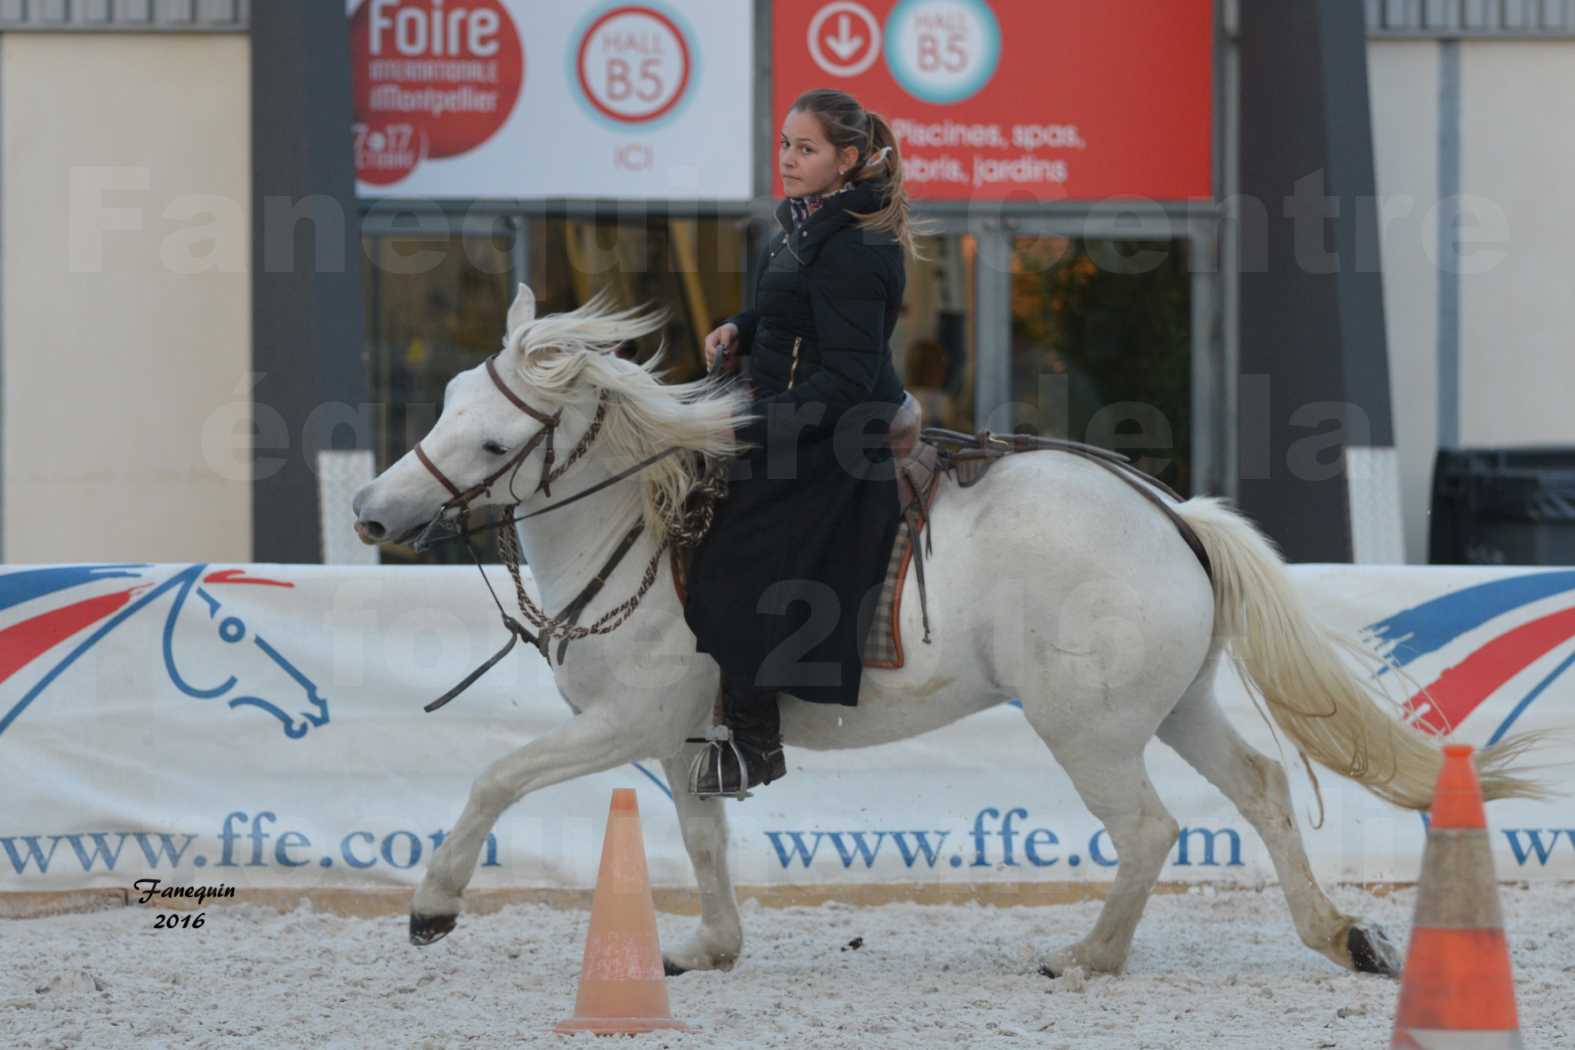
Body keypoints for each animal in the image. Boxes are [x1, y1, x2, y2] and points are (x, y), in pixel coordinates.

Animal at [351, 284, 1543, 976]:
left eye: (494, 440)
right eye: (445, 401)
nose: (370, 511)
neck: (649, 525)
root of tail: (1174, 517)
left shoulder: (626, 721)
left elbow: (498, 778)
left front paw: (433, 908)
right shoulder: (690, 741)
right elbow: (703, 843)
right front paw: (708, 947)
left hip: (1088, 729)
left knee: (1151, 829)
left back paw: (1087, 955)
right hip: (1177, 704)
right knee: (1258, 789)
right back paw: (1336, 935)